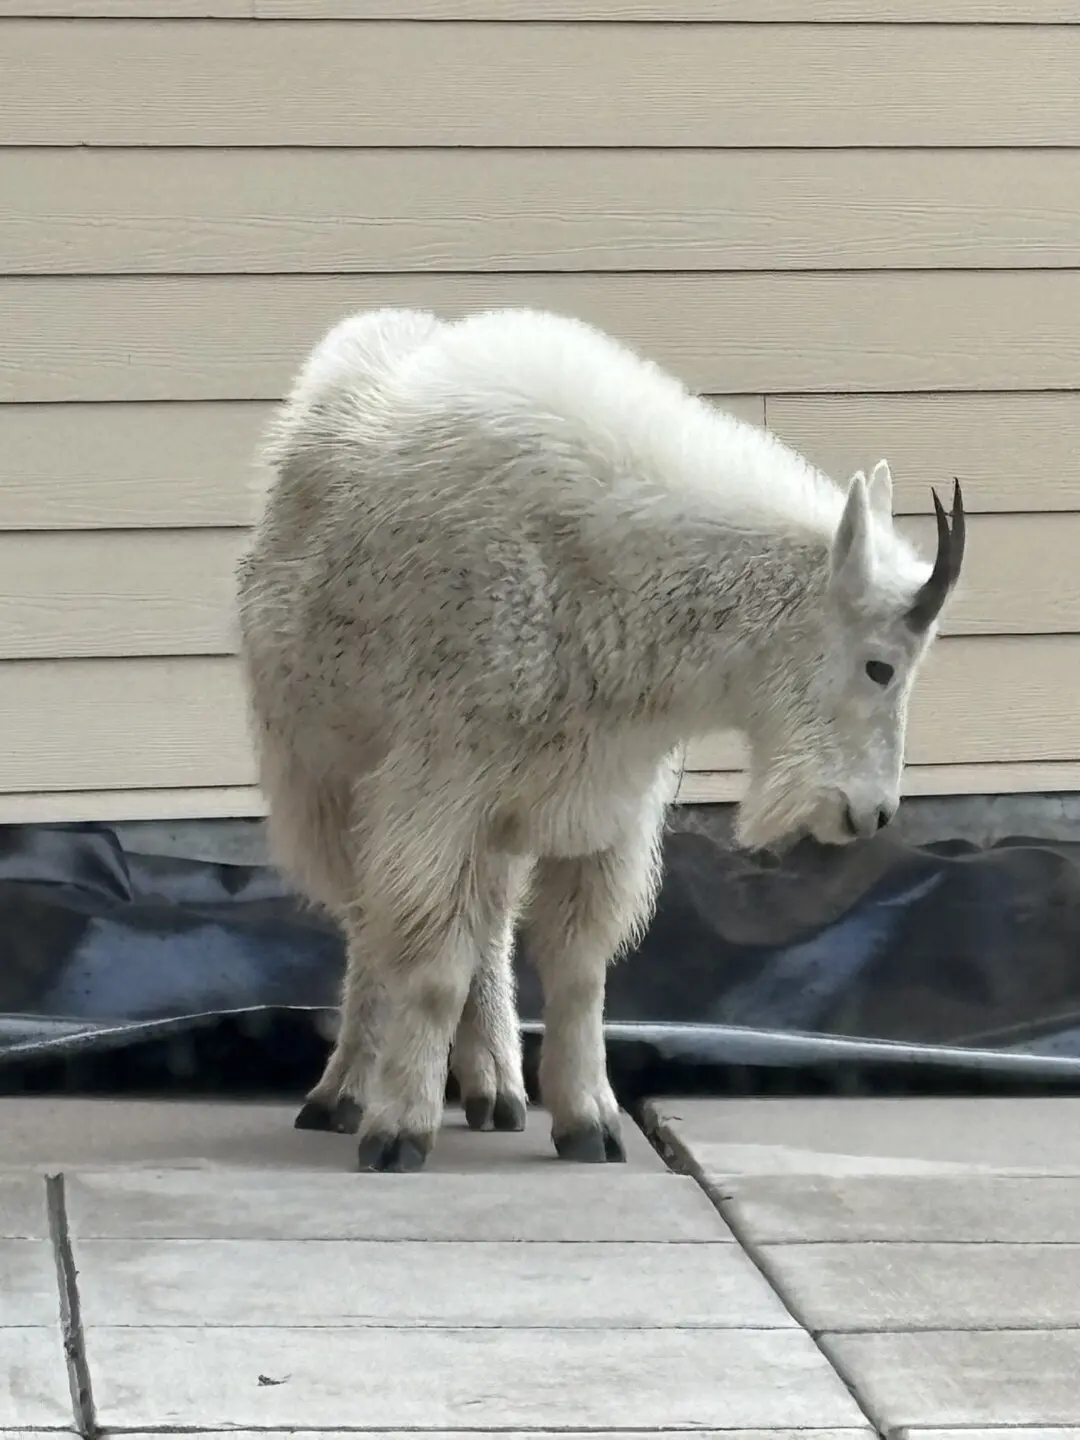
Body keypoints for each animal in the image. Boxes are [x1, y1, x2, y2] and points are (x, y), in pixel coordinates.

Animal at [236, 304, 965, 1171]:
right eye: (881, 667)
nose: (872, 813)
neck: (603, 579)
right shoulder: (436, 784)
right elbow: (430, 963)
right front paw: (398, 1130)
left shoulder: (606, 799)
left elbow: (580, 968)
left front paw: (589, 1123)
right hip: (322, 771)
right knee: (369, 927)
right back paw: (343, 1092)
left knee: (486, 927)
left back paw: (495, 1089)